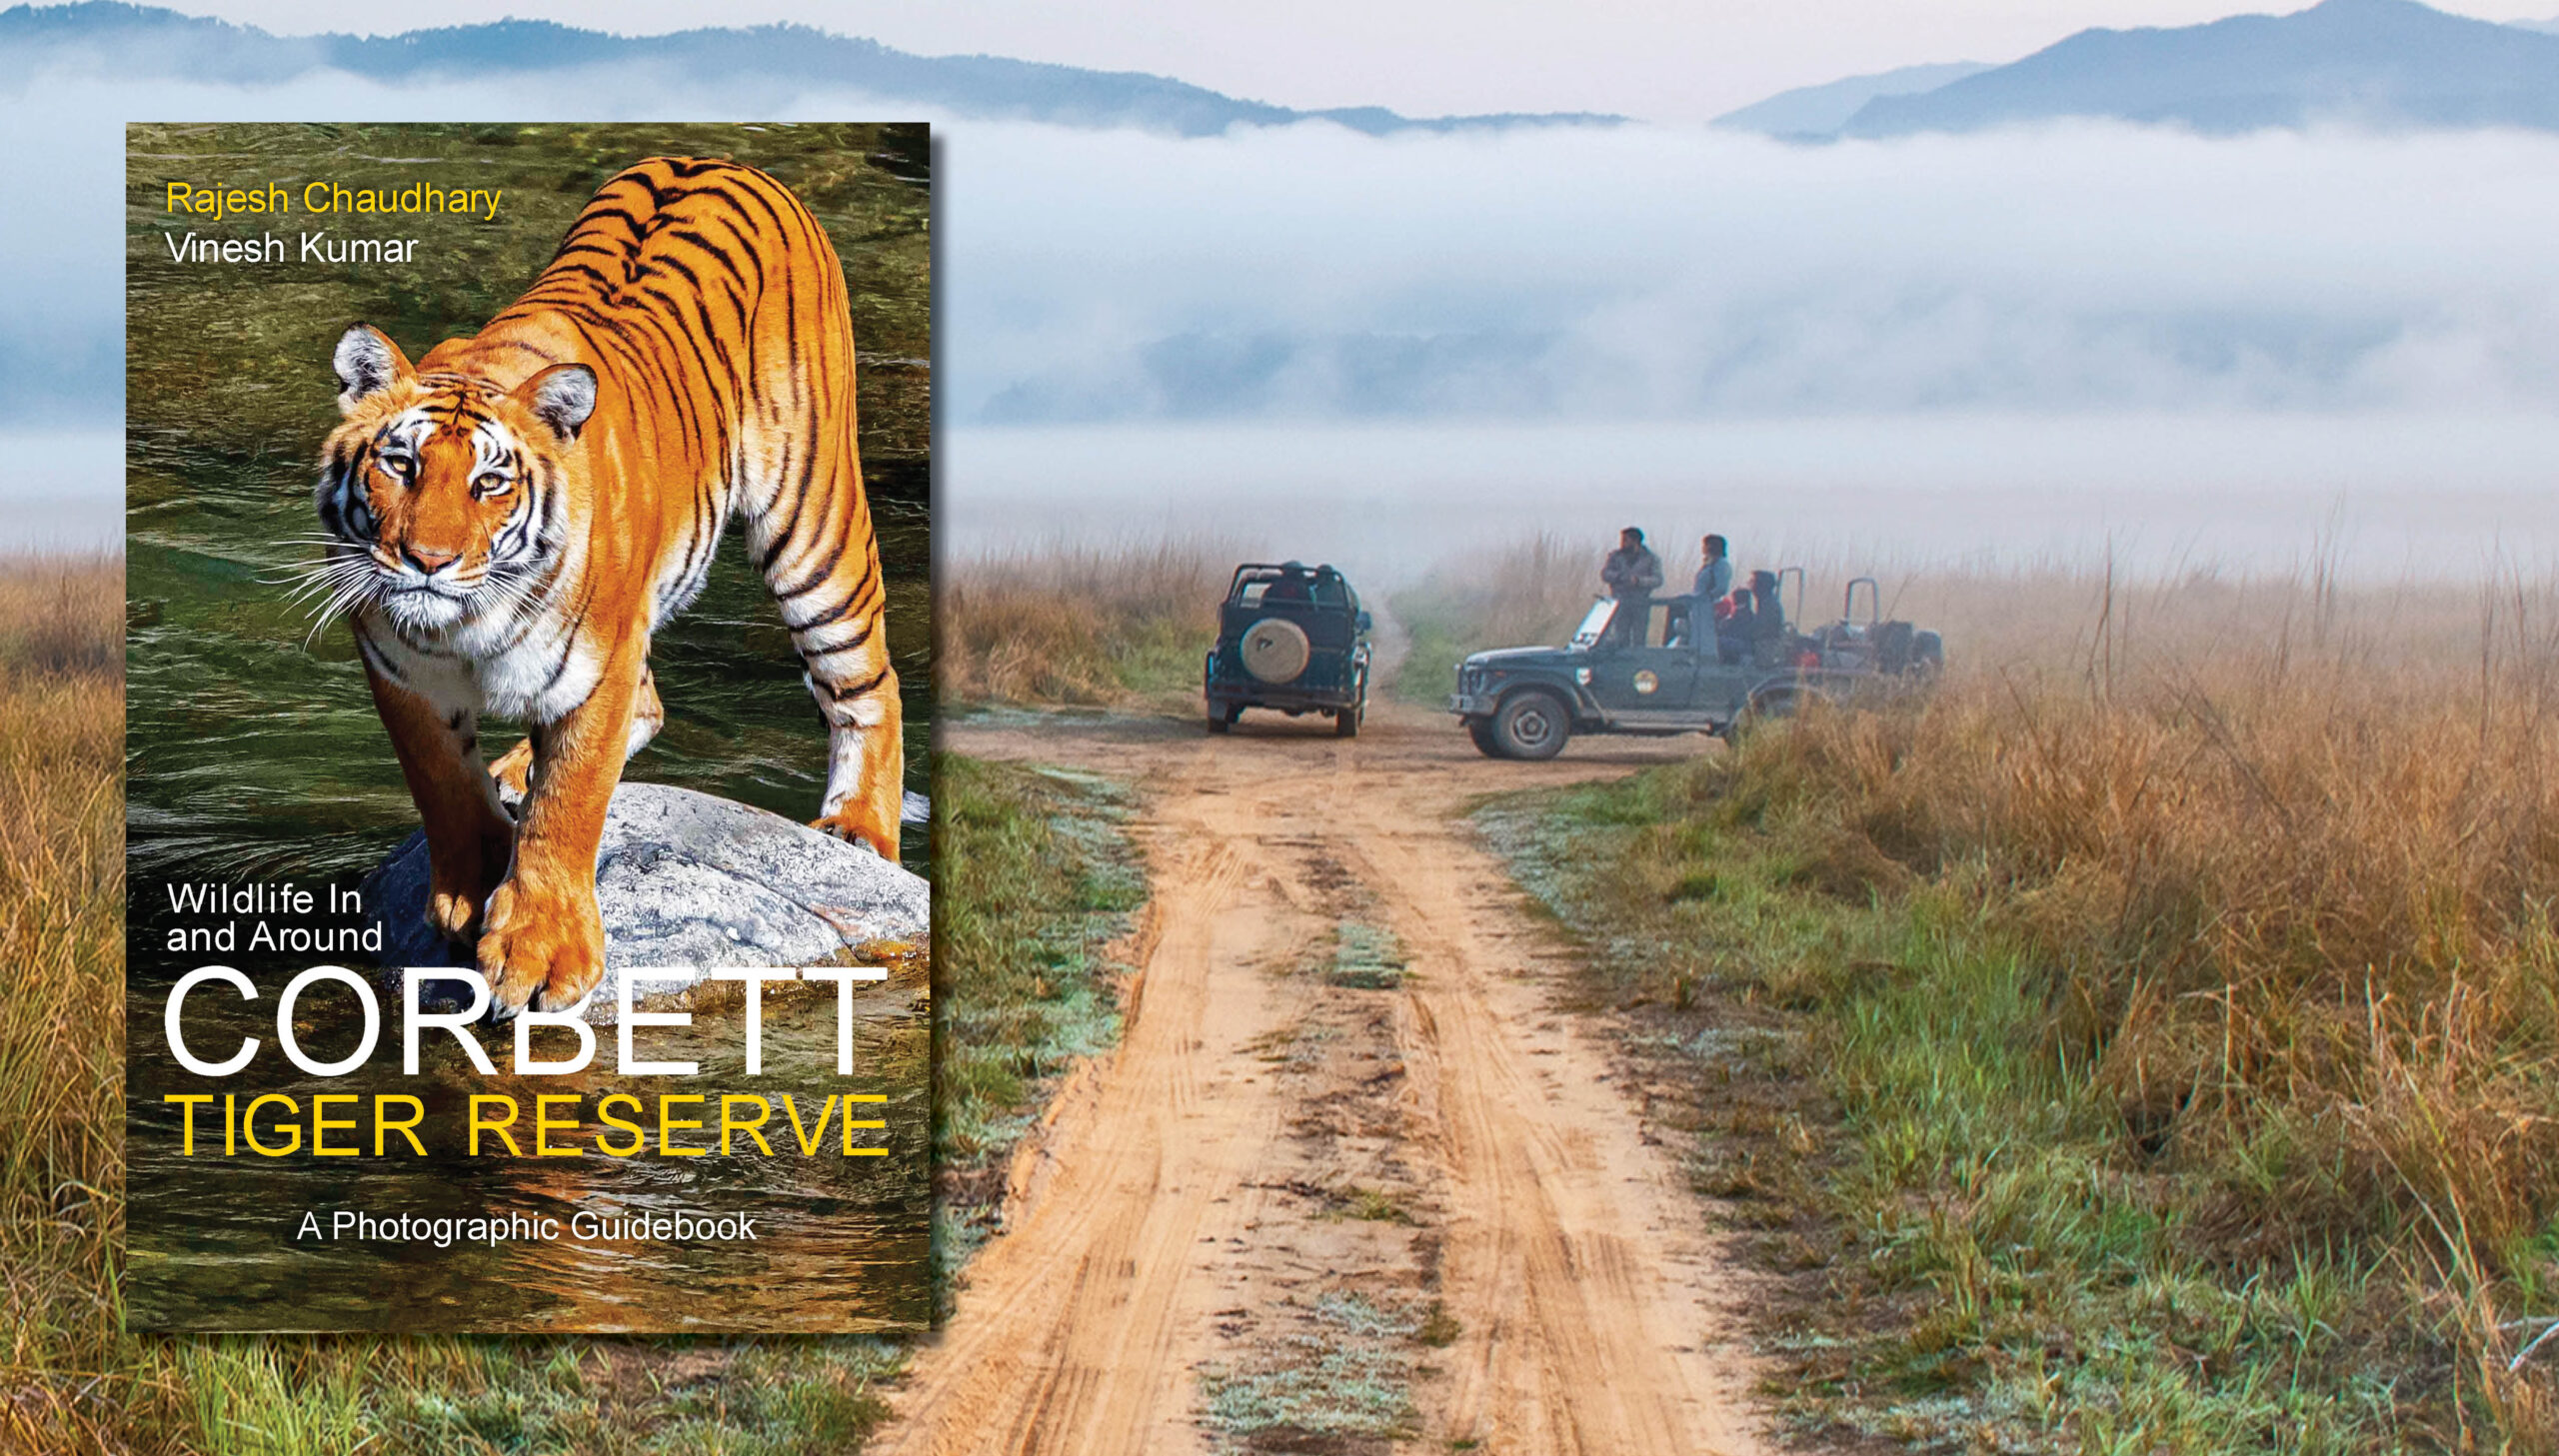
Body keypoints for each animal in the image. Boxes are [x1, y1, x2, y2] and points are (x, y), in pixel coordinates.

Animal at [311, 156, 904, 1018]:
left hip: (813, 525)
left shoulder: (598, 666)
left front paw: (541, 952)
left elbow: (572, 800)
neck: (467, 625)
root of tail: (724, 160)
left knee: (866, 680)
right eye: (400, 464)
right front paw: (470, 888)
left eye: (490, 482)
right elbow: (441, 781)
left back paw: (858, 828)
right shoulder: (400, 669)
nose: (427, 560)